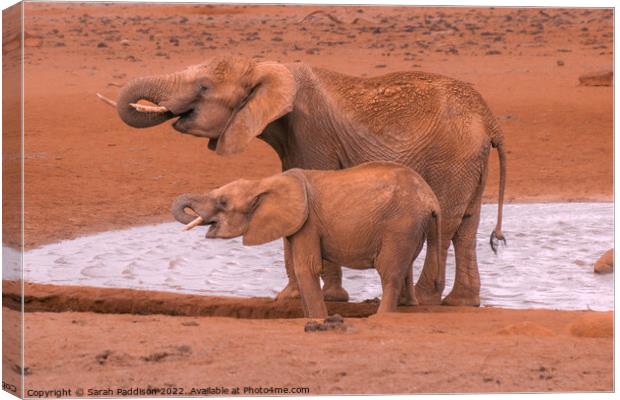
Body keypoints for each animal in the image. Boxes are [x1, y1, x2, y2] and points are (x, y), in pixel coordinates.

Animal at [170, 161, 440, 318]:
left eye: (223, 202)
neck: (263, 183)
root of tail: (431, 199)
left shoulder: (308, 222)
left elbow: (306, 267)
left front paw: (319, 320)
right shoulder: (296, 224)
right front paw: (310, 318)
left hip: (400, 224)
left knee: (389, 272)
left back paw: (381, 316)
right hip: (409, 228)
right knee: (404, 269)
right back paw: (407, 306)